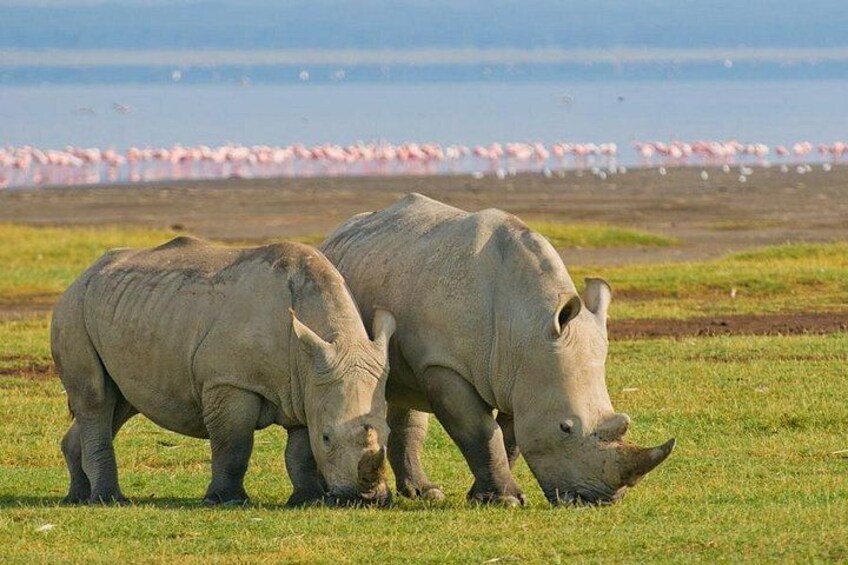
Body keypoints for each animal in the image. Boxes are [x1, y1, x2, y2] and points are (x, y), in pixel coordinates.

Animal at [51, 236, 396, 507]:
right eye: (326, 438)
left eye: (388, 433)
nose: (367, 499)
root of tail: (82, 274)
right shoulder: (229, 382)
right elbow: (233, 444)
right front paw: (226, 499)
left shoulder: (306, 385)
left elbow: (300, 451)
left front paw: (306, 499)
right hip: (73, 308)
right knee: (96, 399)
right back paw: (108, 499)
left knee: (119, 403)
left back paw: (77, 497)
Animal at [320, 194, 674, 506]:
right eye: (565, 427)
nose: (600, 499)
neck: (527, 324)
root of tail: (339, 231)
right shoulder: (446, 365)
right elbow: (481, 432)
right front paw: (505, 499)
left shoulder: (522, 372)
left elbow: (509, 437)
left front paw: (487, 495)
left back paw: (426, 493)